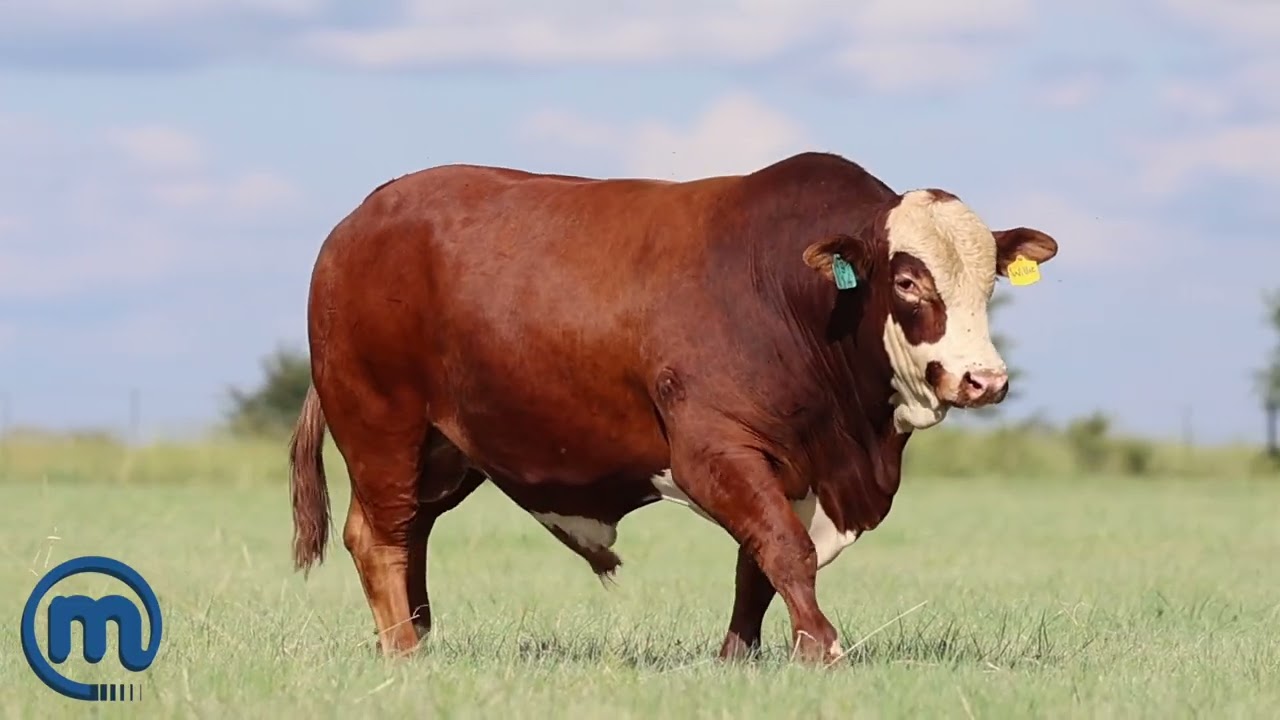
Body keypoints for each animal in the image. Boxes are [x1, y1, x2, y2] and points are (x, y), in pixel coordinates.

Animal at [286, 151, 1058, 664]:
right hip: (381, 423)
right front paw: (820, 648)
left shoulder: (798, 467)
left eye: (989, 282)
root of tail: (361, 218)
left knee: (411, 533)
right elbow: (786, 548)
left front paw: (738, 656)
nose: (984, 380)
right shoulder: (714, 448)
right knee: (378, 538)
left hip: (444, 449)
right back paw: (403, 651)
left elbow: (760, 565)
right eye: (906, 280)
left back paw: (419, 636)